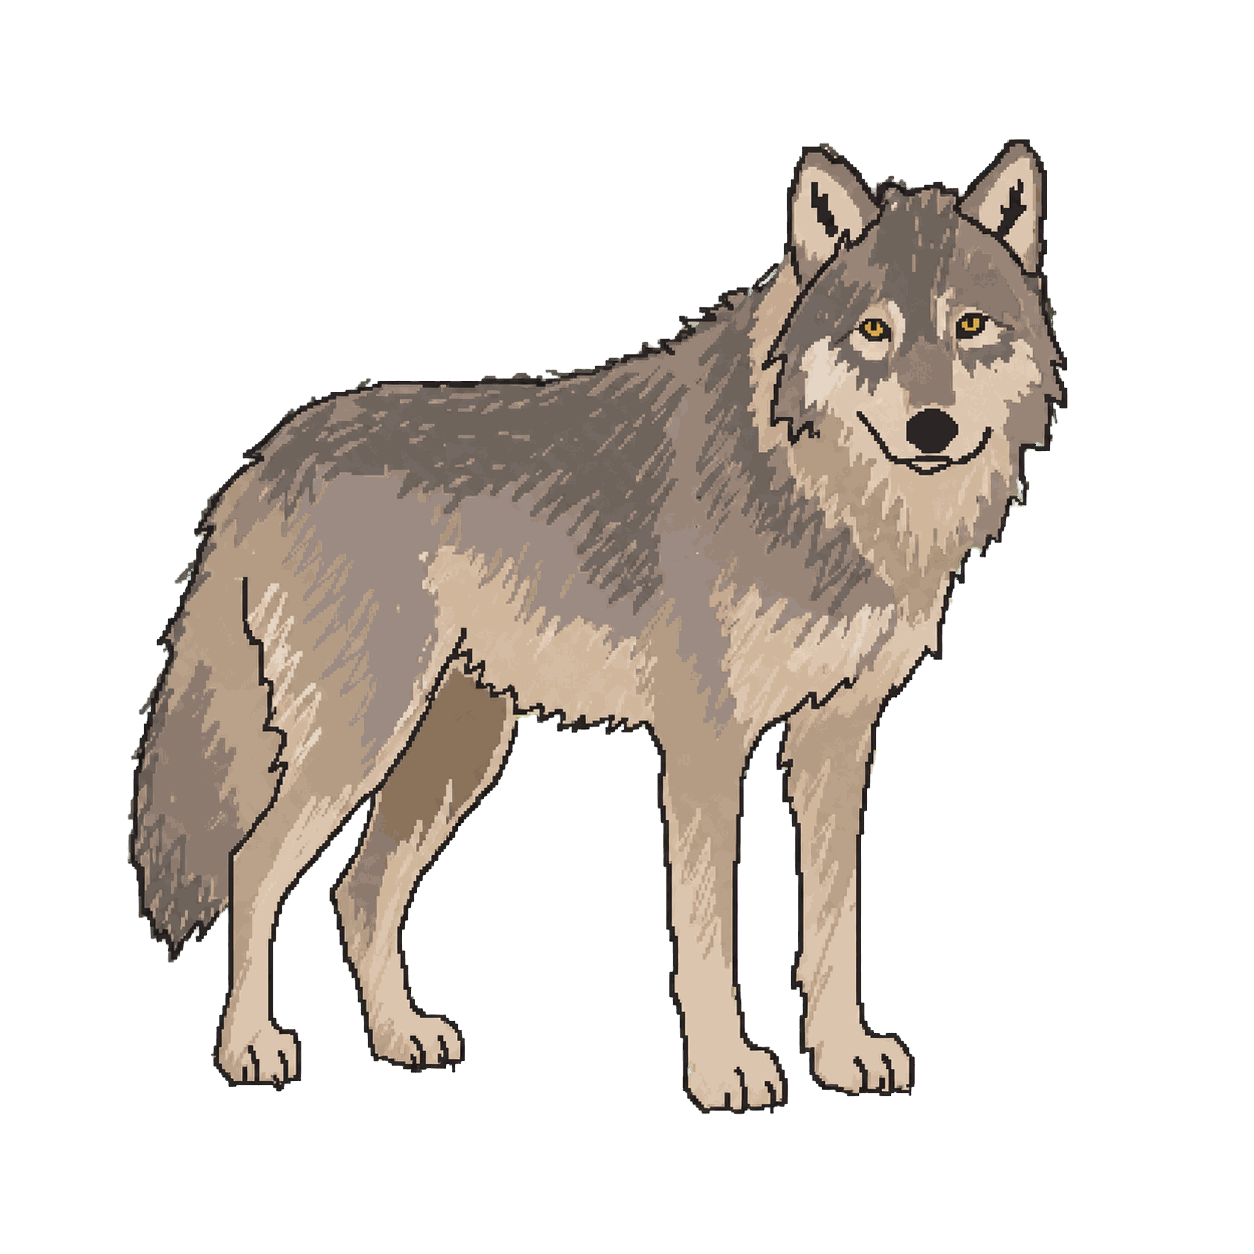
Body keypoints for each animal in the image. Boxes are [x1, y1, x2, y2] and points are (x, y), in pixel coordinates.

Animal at [131, 142, 1063, 1108]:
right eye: (875, 331)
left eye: (971, 327)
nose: (932, 428)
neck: (821, 494)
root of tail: (267, 458)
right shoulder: (706, 741)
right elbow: (708, 928)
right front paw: (726, 1067)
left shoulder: (837, 737)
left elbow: (836, 922)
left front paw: (844, 1053)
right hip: (362, 740)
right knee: (254, 865)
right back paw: (251, 1047)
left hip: (453, 753)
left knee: (361, 888)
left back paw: (401, 1036)